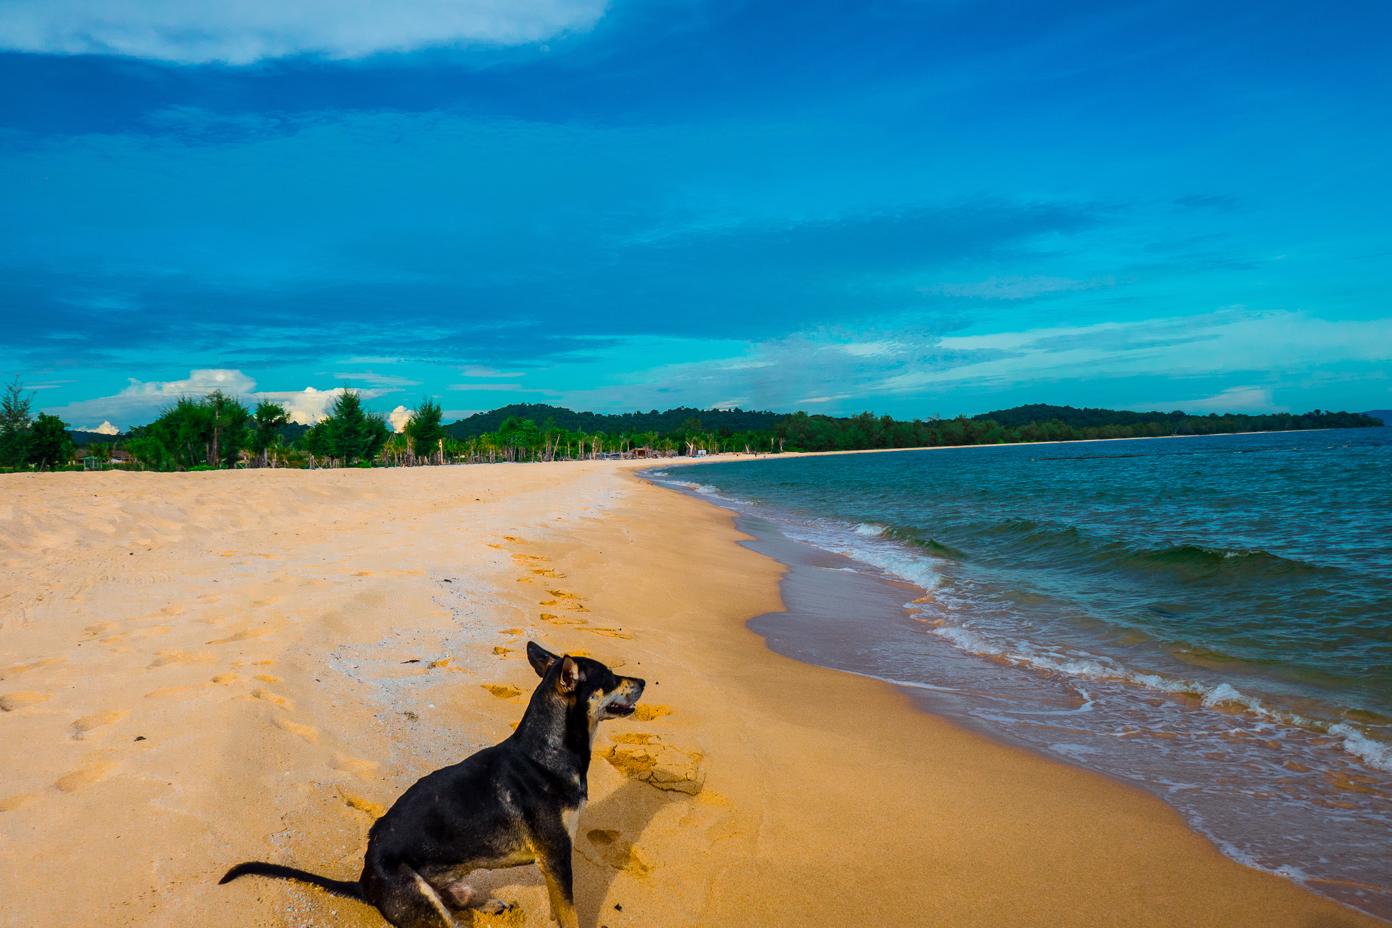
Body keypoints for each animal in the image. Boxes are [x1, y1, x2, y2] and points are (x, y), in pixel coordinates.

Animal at [219, 642, 643, 923]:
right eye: (610, 677)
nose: (642, 680)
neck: (545, 751)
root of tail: (363, 881)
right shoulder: (555, 857)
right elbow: (568, 912)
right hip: (423, 901)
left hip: (455, 884)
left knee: (460, 901)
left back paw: (490, 904)